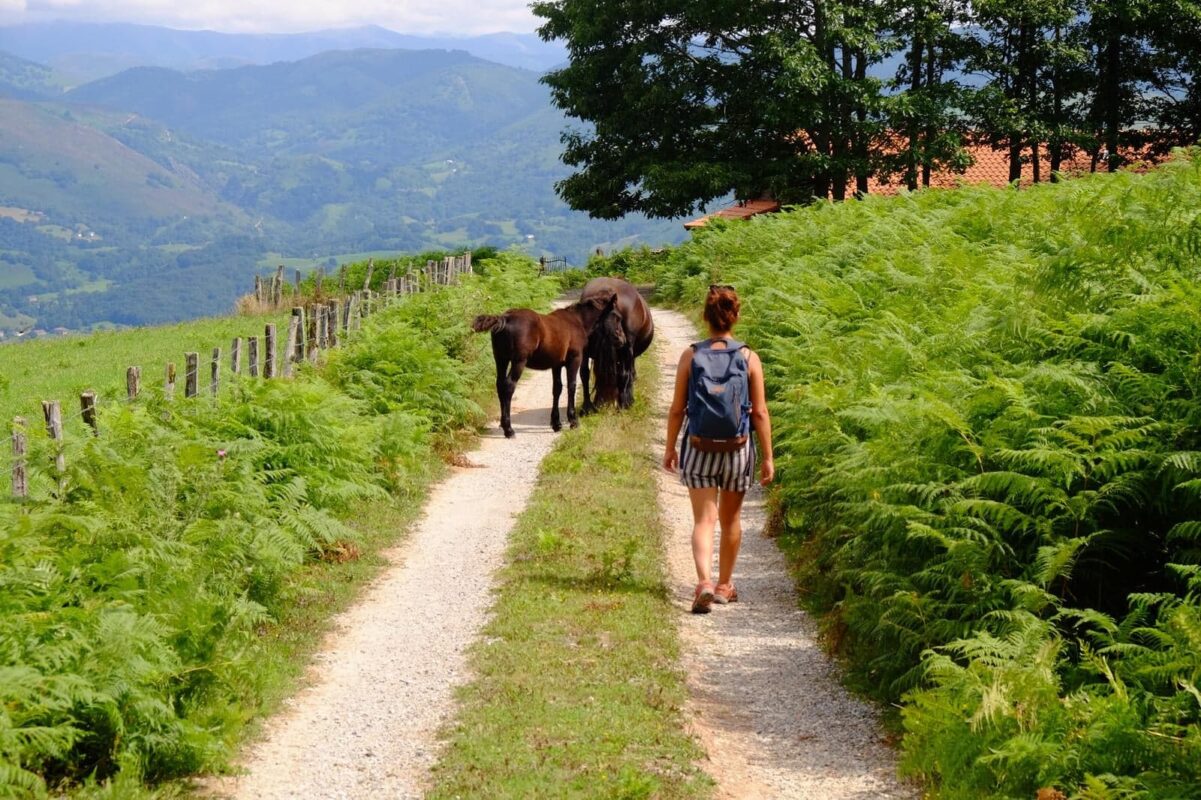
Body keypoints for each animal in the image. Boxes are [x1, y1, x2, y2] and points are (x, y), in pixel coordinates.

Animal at [470, 294, 619, 437]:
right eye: (616, 316)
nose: (620, 337)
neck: (577, 321)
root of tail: (504, 318)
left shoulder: (557, 364)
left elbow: (557, 389)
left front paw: (556, 423)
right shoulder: (574, 359)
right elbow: (571, 386)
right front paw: (573, 420)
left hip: (501, 359)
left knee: (500, 385)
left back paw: (503, 425)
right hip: (518, 361)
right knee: (508, 386)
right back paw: (509, 429)